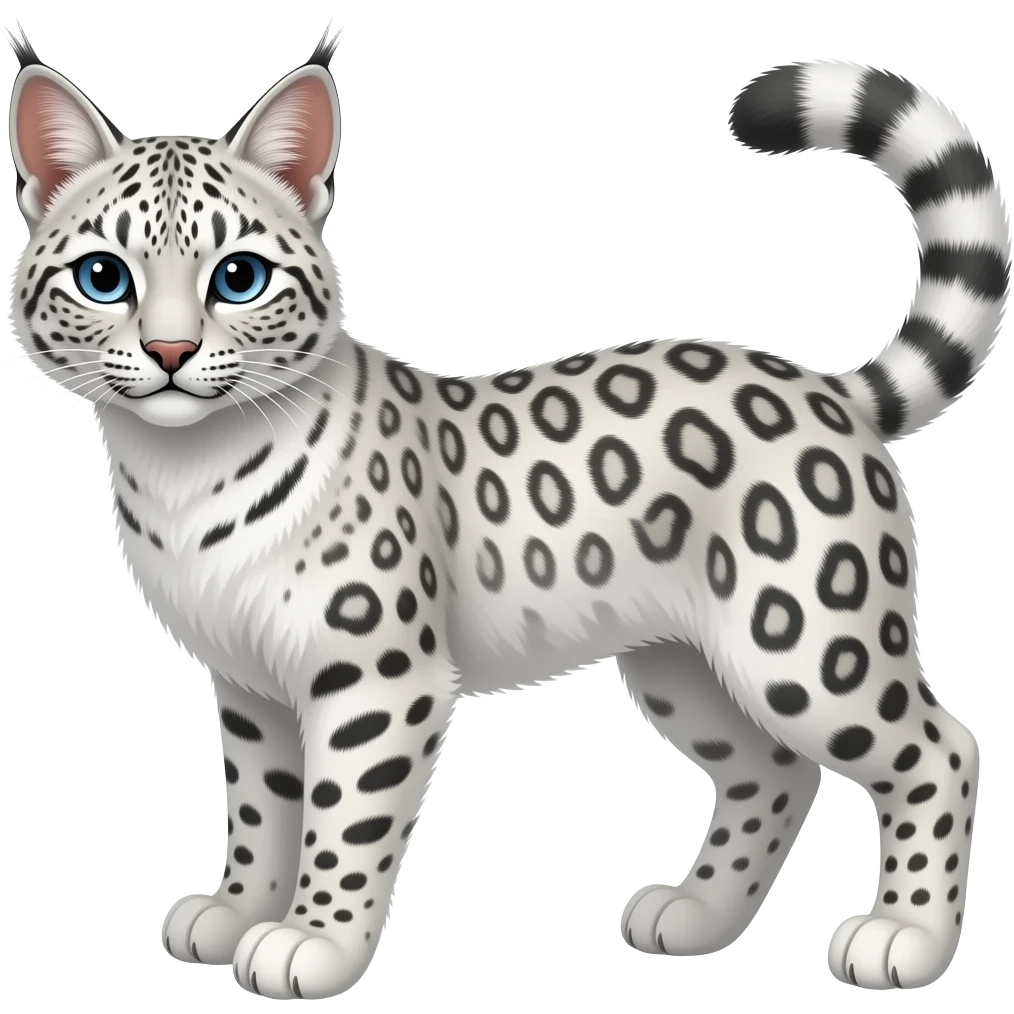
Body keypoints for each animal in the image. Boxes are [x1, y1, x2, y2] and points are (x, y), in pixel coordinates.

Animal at [4, 19, 1005, 997]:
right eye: (104, 278)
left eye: (239, 277)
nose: (170, 353)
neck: (183, 475)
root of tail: (825, 388)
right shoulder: (249, 685)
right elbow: (261, 807)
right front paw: (239, 908)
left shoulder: (375, 679)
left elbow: (343, 818)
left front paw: (312, 942)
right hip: (681, 665)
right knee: (775, 768)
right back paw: (697, 915)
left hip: (802, 642)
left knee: (940, 749)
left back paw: (905, 936)